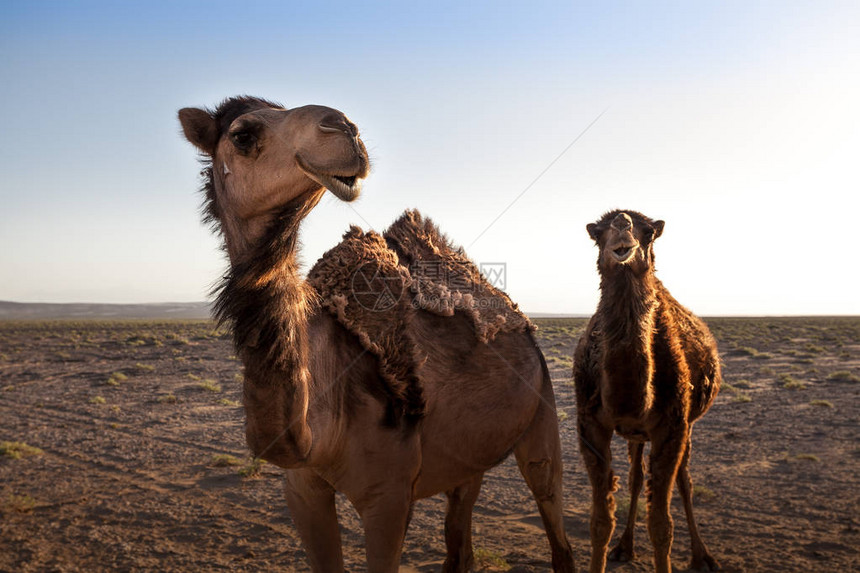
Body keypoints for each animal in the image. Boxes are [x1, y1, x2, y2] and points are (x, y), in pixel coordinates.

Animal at [178, 98, 576, 572]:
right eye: (243, 135)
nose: (344, 128)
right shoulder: (302, 491)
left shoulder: (388, 495)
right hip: (471, 457)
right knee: (460, 537)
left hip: (542, 413)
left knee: (554, 518)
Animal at [576, 210, 724, 572]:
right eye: (598, 233)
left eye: (649, 232)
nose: (622, 224)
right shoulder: (590, 425)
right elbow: (600, 522)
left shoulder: (672, 425)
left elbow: (661, 525)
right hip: (636, 433)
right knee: (636, 477)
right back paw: (625, 547)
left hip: (686, 425)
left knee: (684, 479)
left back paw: (702, 556)